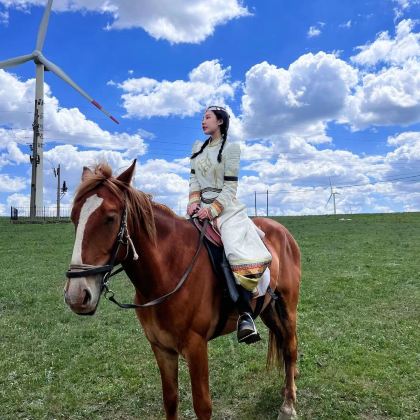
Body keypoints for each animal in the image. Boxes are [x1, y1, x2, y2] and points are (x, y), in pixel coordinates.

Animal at [64, 162, 300, 420]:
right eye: (74, 218)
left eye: (110, 218)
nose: (76, 295)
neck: (168, 272)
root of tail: (283, 232)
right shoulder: (162, 348)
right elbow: (171, 399)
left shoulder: (196, 347)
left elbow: (202, 405)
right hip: (268, 309)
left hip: (288, 306)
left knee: (290, 346)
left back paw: (288, 404)